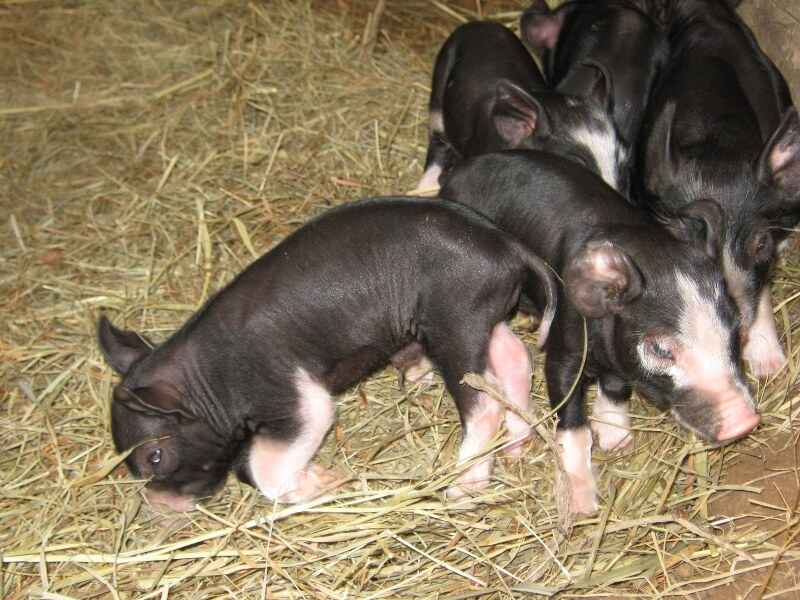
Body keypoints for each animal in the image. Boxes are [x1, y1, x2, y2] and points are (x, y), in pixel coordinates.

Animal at [97, 197, 557, 511]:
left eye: (155, 456)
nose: (160, 507)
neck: (206, 380)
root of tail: (509, 245)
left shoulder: (289, 392)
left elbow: (271, 461)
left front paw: (330, 482)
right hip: (477, 317)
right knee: (514, 358)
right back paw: (517, 448)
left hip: (454, 318)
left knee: (484, 403)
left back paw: (461, 490)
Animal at [418, 20, 628, 194]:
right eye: (576, 165)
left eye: (624, 160)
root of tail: (477, 23)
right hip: (440, 77)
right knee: (438, 138)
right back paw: (425, 188)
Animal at [440, 150, 759, 514]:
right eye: (661, 349)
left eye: (734, 325)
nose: (746, 421)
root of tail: (461, 171)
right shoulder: (563, 350)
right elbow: (572, 419)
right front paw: (581, 507)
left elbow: (618, 386)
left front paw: (617, 441)